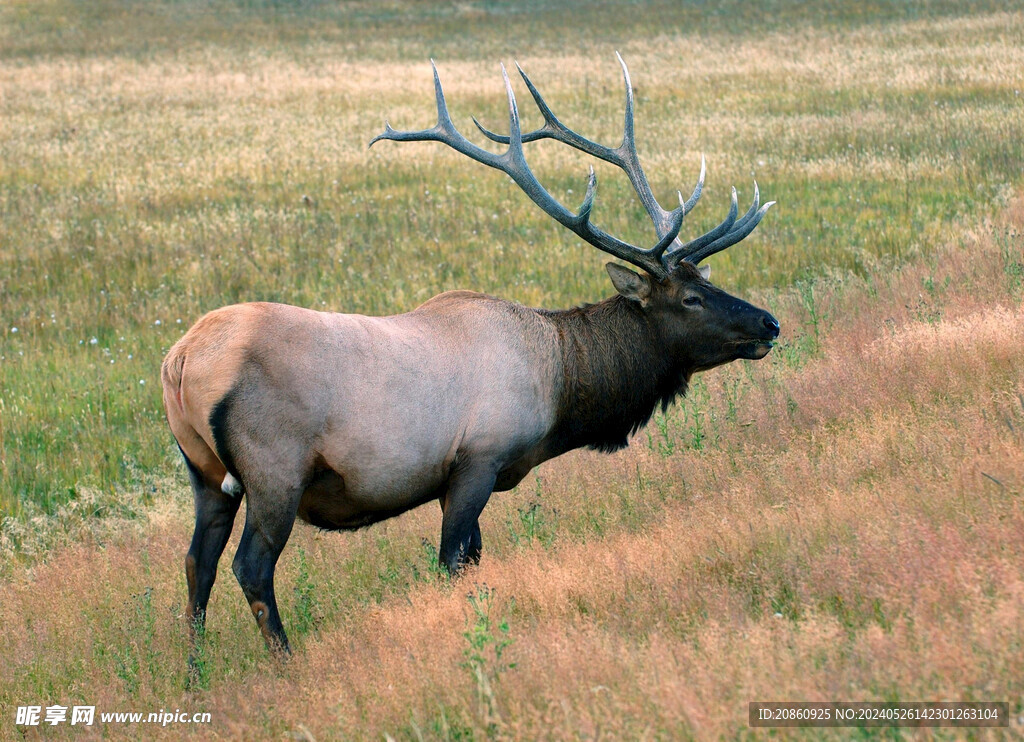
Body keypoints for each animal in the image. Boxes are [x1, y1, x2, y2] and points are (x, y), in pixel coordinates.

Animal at [163, 59, 778, 659]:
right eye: (690, 297)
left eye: (709, 281)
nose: (770, 323)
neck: (560, 379)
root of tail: (181, 360)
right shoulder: (478, 459)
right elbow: (452, 560)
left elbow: (472, 559)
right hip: (274, 470)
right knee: (251, 567)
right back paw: (286, 660)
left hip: (204, 471)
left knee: (197, 564)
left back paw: (193, 667)